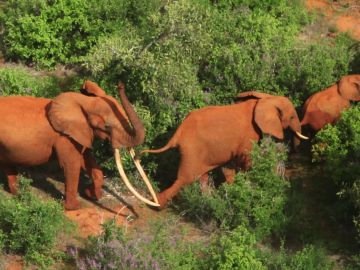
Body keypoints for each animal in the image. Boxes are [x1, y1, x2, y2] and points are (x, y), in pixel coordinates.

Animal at [0, 79, 158, 210]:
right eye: (107, 127)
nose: (120, 84)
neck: (84, 102)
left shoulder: (82, 132)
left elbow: (87, 159)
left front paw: (91, 195)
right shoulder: (64, 137)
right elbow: (72, 164)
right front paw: (74, 207)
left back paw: (18, 193)